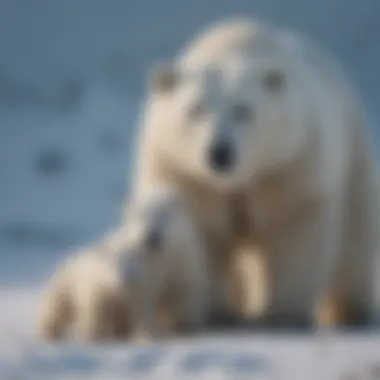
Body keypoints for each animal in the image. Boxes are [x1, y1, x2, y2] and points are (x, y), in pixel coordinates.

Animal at [119, 184, 220, 338]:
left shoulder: (183, 261)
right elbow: (144, 299)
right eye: (141, 217)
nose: (152, 236)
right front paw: (147, 332)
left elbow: (186, 290)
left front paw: (185, 325)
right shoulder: (143, 268)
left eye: (165, 217)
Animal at [130, 16, 380, 328]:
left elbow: (294, 233)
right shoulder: (184, 176)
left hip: (353, 149)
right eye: (195, 110)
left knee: (355, 236)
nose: (220, 152)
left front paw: (280, 315)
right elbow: (202, 236)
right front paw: (216, 313)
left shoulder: (291, 165)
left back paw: (350, 311)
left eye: (243, 110)